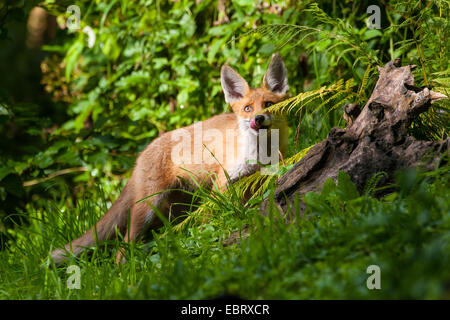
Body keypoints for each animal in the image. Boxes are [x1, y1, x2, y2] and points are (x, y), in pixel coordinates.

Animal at [49, 53, 288, 264]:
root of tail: (141, 156)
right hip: (148, 207)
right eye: (247, 108)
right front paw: (216, 236)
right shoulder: (223, 182)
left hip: (175, 209)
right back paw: (125, 273)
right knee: (122, 246)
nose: (258, 118)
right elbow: (214, 218)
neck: (260, 153)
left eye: (268, 104)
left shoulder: (258, 179)